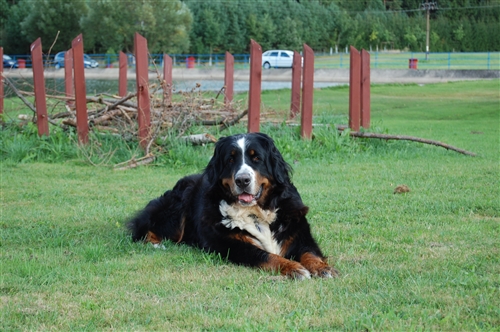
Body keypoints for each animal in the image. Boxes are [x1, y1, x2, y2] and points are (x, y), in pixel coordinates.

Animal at [128, 133, 340, 280]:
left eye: (257, 158)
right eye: (230, 160)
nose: (243, 180)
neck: (256, 212)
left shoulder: (299, 233)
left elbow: (310, 253)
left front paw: (323, 268)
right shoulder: (232, 244)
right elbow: (266, 255)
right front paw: (293, 268)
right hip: (175, 212)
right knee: (143, 227)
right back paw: (157, 244)